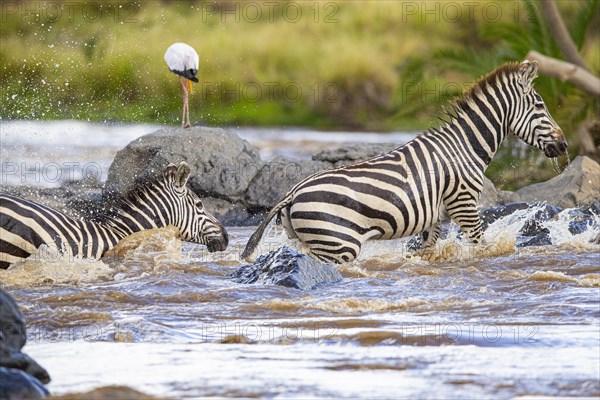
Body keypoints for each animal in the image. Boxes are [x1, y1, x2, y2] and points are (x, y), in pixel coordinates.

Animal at [243, 61, 568, 264]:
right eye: (541, 106)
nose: (564, 145)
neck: (465, 147)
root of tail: (291, 193)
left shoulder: (434, 217)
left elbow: (429, 251)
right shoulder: (463, 204)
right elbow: (482, 246)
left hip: (308, 241)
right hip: (337, 244)